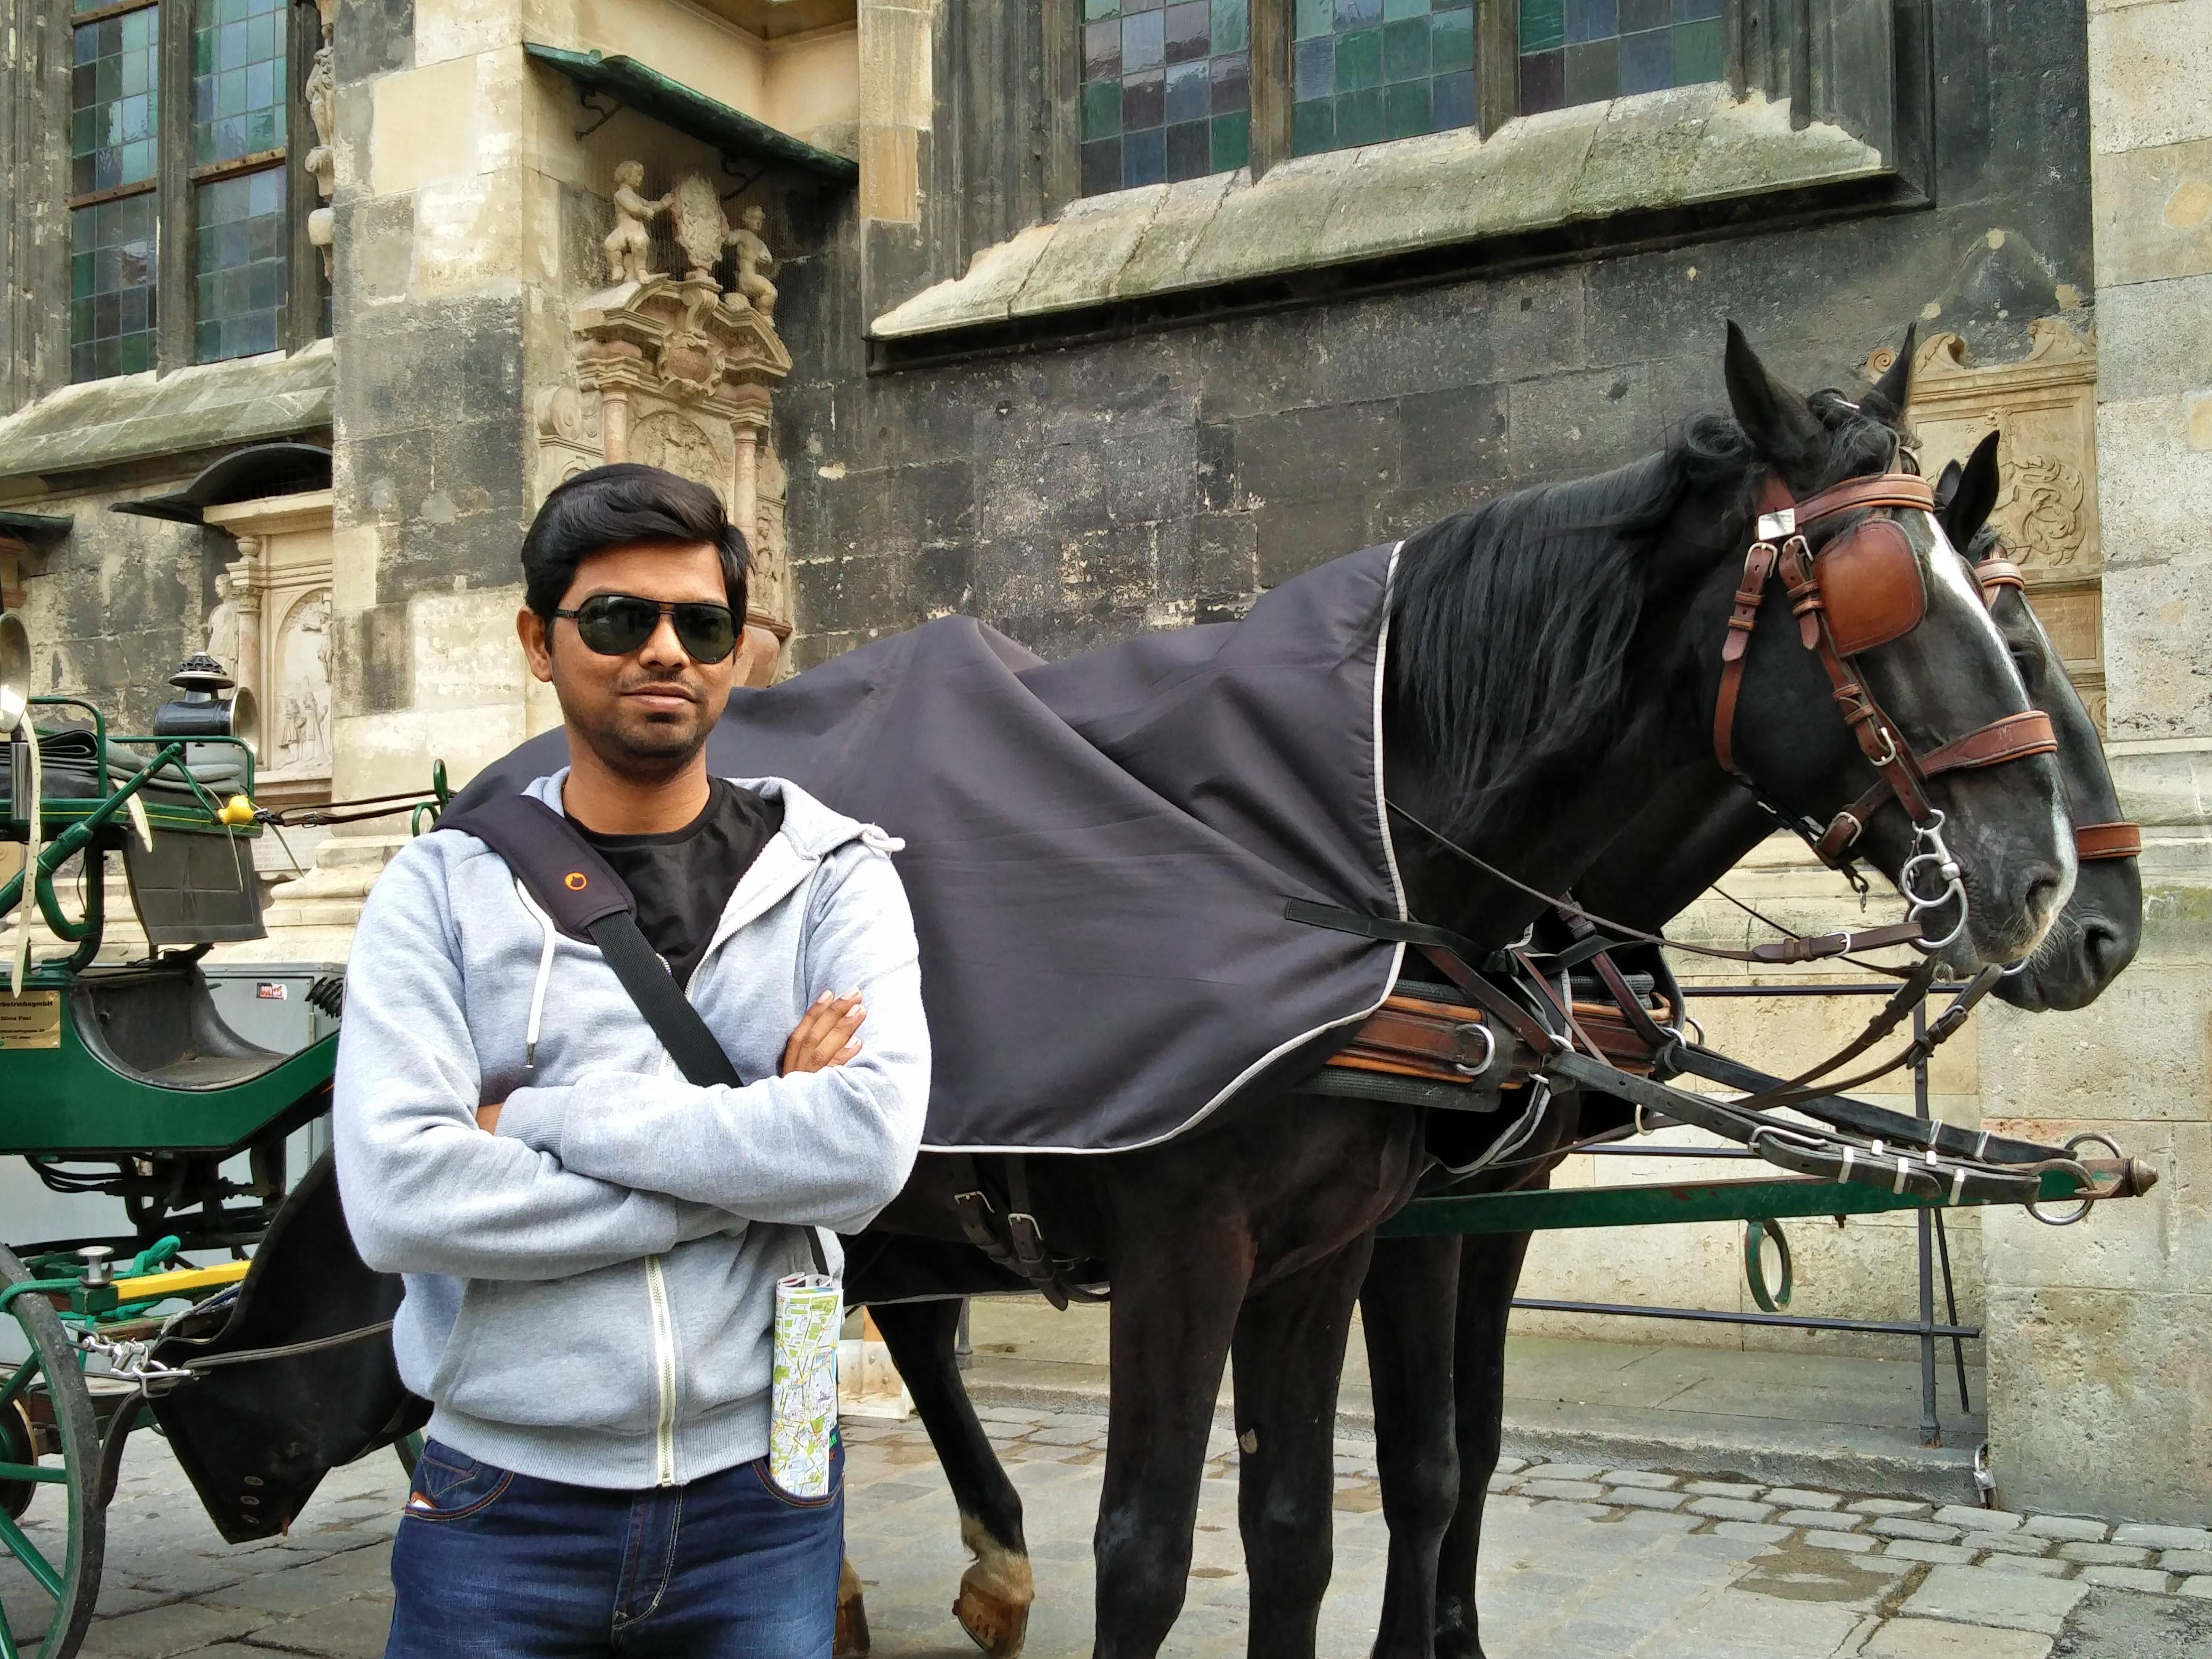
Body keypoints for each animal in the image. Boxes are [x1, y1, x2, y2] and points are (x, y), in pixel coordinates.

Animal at [838, 322, 2076, 1659]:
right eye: (1878, 593)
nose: (2050, 883)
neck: (1332, 870)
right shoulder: (1194, 1249)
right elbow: (1154, 1556)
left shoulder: (1357, 1237)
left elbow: (1327, 1514)